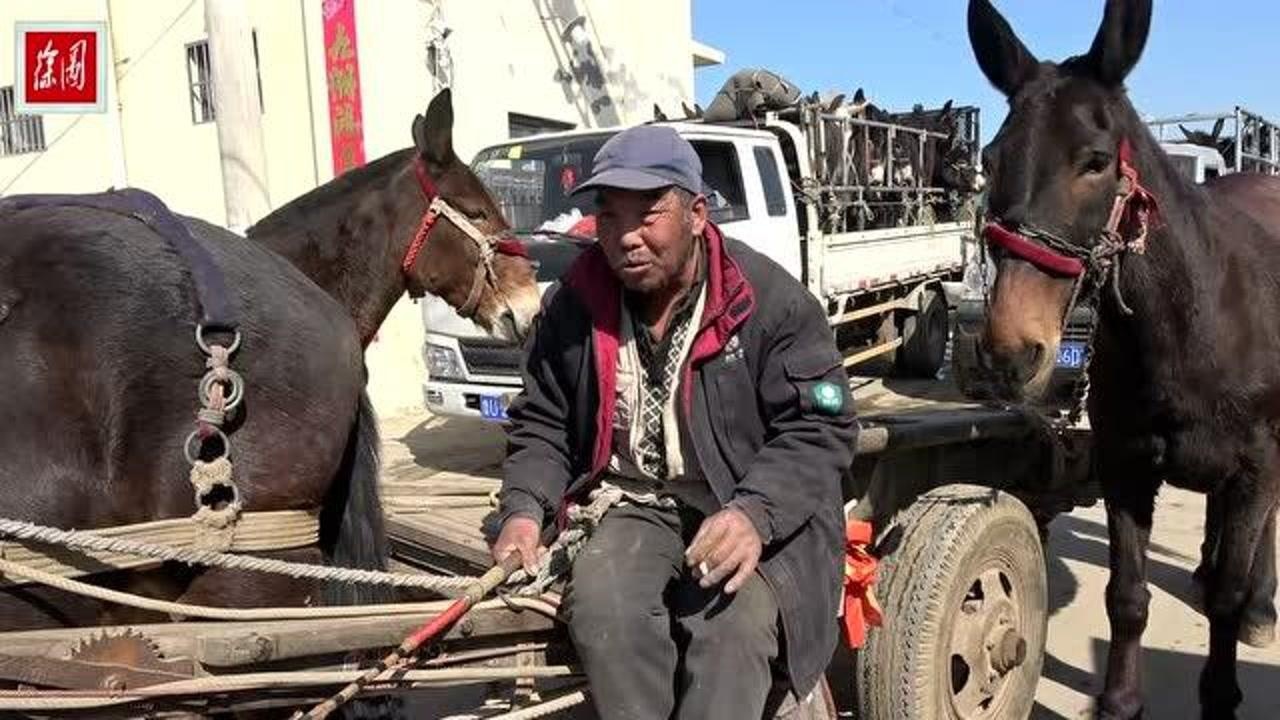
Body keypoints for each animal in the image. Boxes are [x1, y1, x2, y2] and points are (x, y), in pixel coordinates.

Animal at [962, 2, 1274, 712]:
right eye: (990, 158)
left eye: (1097, 161)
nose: (1009, 353)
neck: (1189, 328)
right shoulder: (1126, 464)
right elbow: (1127, 598)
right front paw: (1119, 702)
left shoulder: (1256, 467)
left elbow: (1226, 597)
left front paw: (1221, 690)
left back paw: (1261, 607)